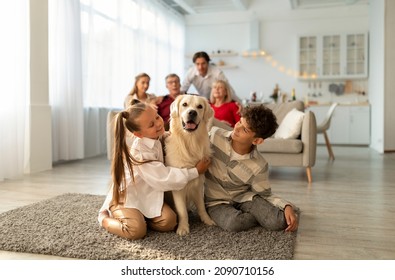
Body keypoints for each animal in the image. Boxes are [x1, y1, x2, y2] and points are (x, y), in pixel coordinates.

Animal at [165, 95, 217, 235]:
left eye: (200, 106)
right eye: (184, 104)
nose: (192, 112)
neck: (190, 141)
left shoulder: (198, 183)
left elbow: (201, 206)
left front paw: (207, 220)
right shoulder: (177, 186)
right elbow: (182, 210)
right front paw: (183, 227)